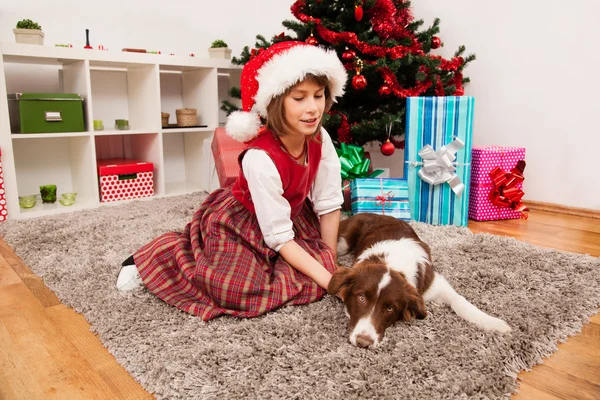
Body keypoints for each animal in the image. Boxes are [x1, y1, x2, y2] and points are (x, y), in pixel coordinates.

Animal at [328, 212, 510, 346]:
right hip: (343, 241)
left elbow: (460, 301)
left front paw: (493, 323)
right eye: (361, 298)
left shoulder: (434, 283)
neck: (392, 263)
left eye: (390, 308)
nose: (363, 342)